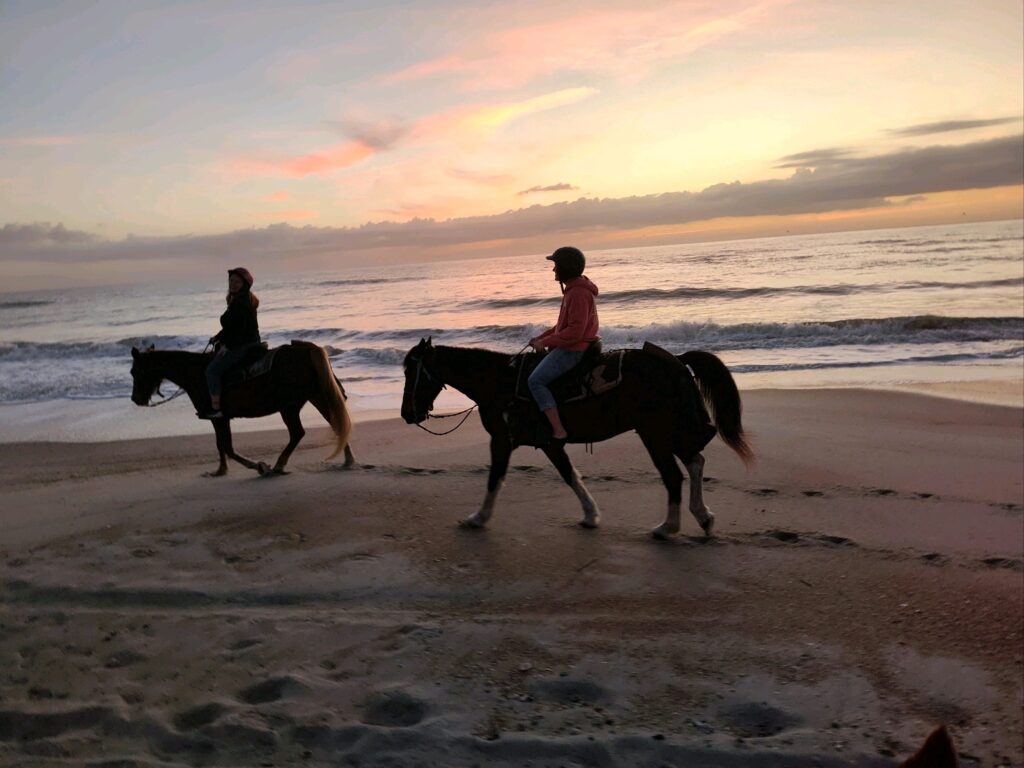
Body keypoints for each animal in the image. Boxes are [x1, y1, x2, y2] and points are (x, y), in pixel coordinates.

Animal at [130, 342, 354, 475]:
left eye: (135, 371)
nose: (135, 399)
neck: (196, 373)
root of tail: (306, 350)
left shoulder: (218, 417)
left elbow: (226, 447)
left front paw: (258, 466)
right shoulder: (220, 419)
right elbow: (221, 445)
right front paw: (221, 469)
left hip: (289, 407)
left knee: (298, 433)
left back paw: (279, 464)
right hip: (317, 397)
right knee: (336, 424)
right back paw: (347, 460)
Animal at [401, 339, 753, 536]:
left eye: (411, 372)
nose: (407, 413)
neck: (499, 382)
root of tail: (677, 362)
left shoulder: (503, 440)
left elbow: (495, 478)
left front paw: (478, 517)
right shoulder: (549, 443)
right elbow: (570, 475)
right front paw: (590, 514)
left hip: (655, 434)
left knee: (675, 474)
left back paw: (669, 527)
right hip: (665, 432)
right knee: (695, 461)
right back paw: (702, 517)